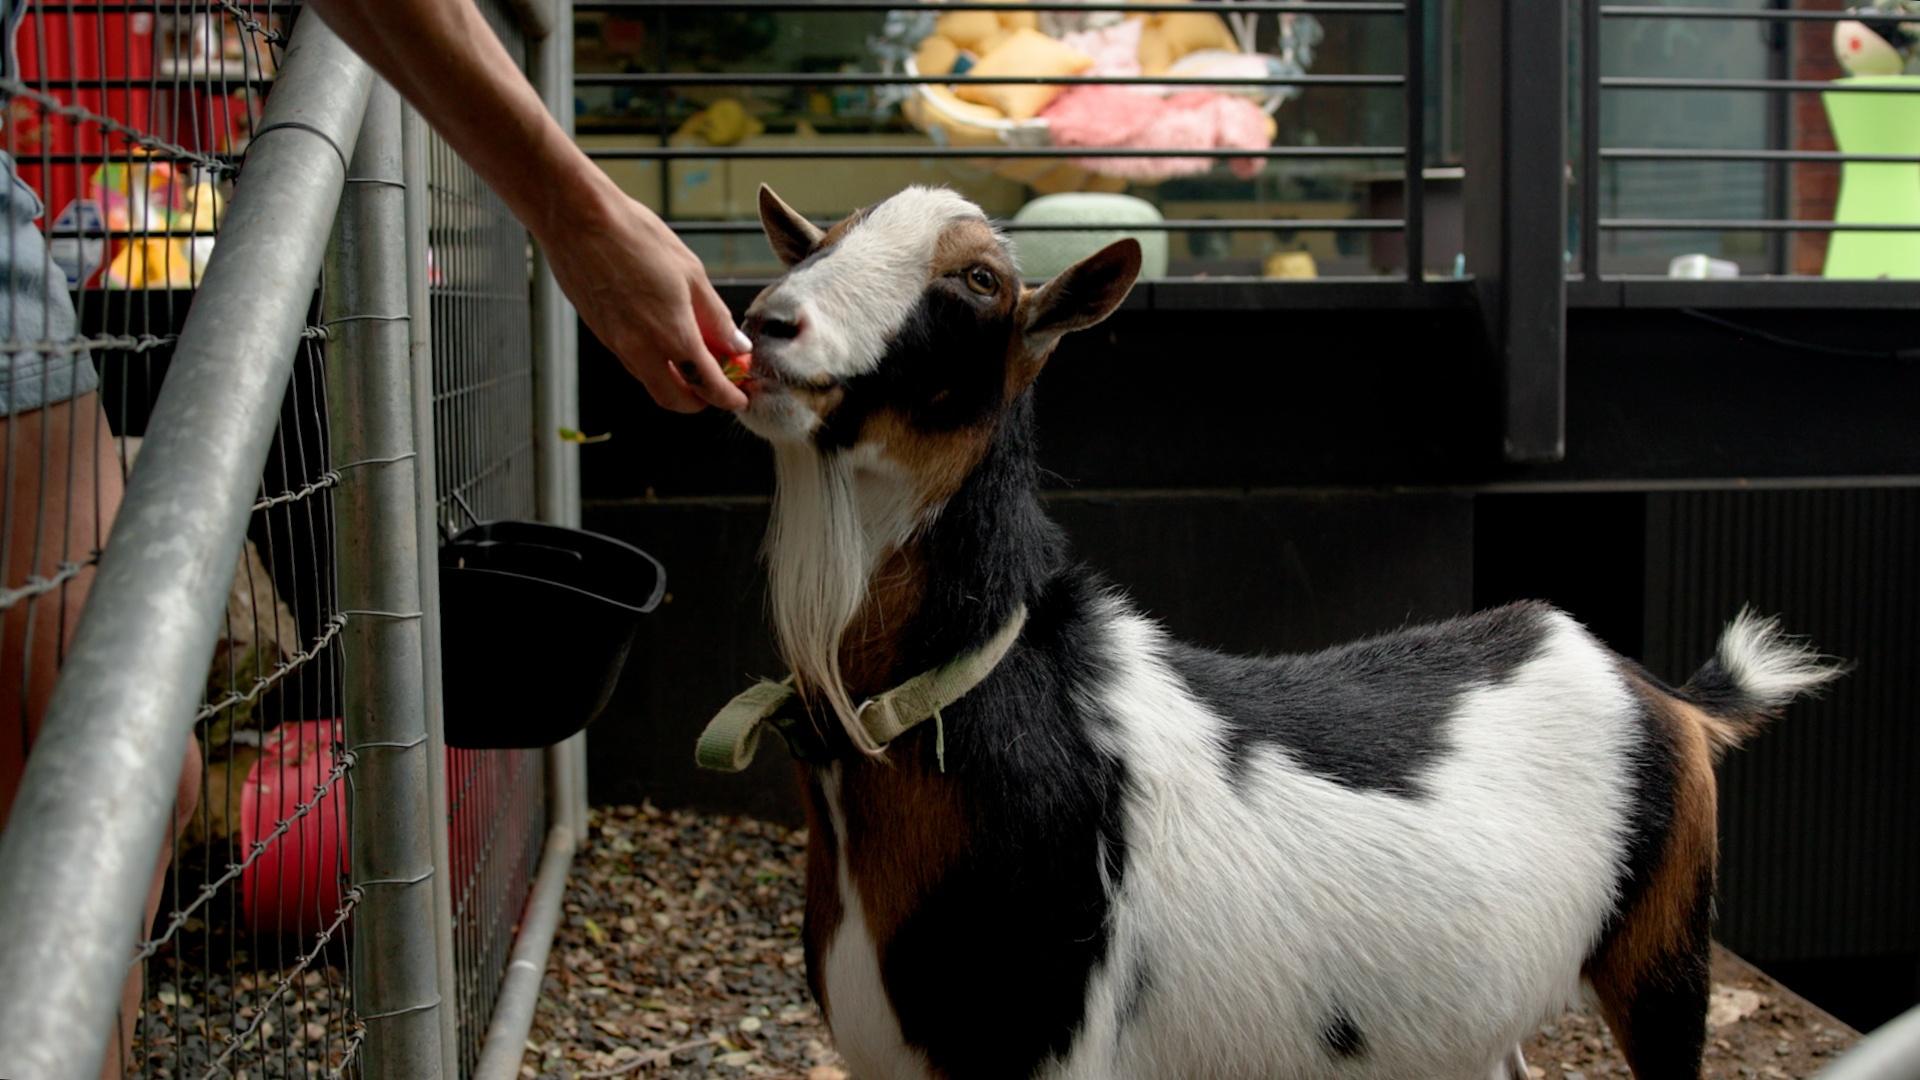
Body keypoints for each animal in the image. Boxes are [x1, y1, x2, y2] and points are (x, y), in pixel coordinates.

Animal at [703, 183, 1845, 1080]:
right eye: (816, 240)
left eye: (980, 280)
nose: (769, 322)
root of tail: (1663, 693)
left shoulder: (1055, 1047)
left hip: (1667, 955)